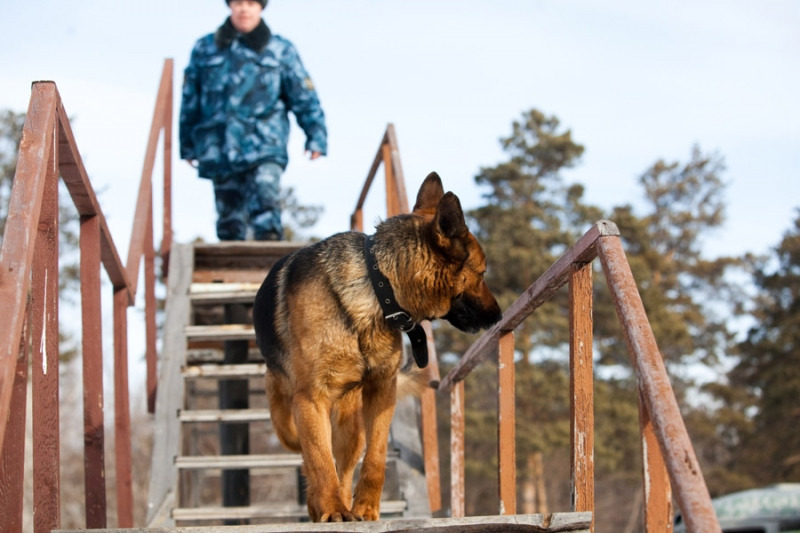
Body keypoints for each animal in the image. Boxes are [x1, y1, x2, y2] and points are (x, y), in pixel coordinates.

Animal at [253, 174, 500, 520]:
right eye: (482, 273)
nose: (500, 315)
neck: (377, 287)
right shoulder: (310, 400)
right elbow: (319, 461)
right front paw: (331, 507)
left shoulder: (383, 391)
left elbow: (375, 459)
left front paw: (365, 508)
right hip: (287, 419)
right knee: (311, 455)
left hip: (350, 429)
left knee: (343, 466)